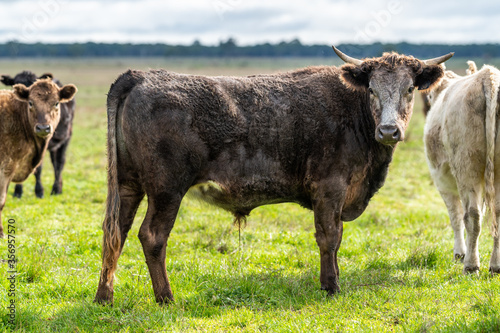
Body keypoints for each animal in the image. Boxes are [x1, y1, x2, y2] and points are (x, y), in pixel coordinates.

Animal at [94, 46, 454, 304]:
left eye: (410, 89)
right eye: (372, 90)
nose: (389, 130)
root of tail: (140, 76)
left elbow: (335, 238)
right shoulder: (330, 188)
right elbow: (329, 237)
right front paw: (330, 286)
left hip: (128, 185)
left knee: (116, 232)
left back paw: (104, 297)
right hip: (166, 189)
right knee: (152, 236)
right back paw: (166, 297)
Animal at [424, 61, 500, 272]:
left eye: (430, 96)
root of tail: (488, 76)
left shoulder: (442, 183)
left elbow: (455, 216)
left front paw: (460, 252)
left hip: (467, 166)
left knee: (471, 216)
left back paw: (471, 265)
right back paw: (495, 265)